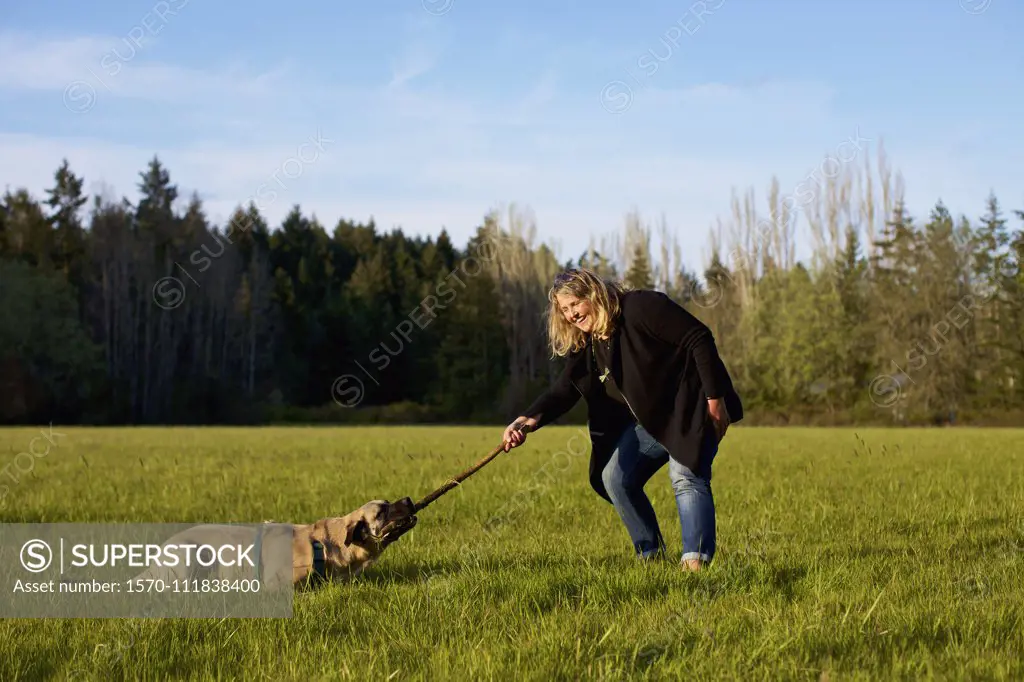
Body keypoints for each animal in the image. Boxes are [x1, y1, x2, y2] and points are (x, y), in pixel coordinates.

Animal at [133, 493, 419, 589]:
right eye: (382, 512)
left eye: (389, 502)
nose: (408, 499)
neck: (322, 544)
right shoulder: (277, 584)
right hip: (189, 556)